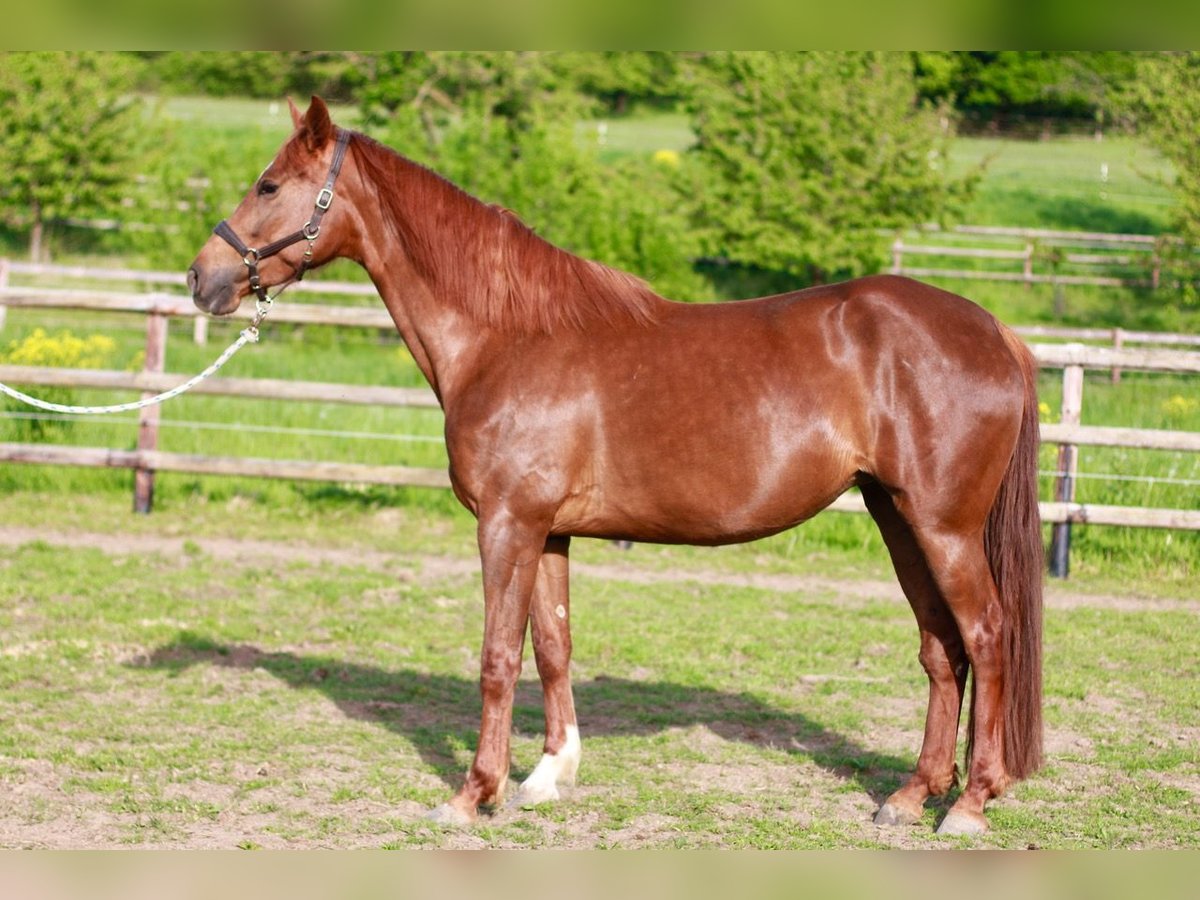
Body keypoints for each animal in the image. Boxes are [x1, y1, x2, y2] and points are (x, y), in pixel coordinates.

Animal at [187, 98, 1041, 840]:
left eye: (269, 185)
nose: (201, 278)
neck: (507, 337)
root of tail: (997, 332)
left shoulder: (507, 524)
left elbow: (498, 657)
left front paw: (473, 794)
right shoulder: (549, 532)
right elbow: (552, 646)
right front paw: (546, 776)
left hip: (943, 527)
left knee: (986, 636)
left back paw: (970, 803)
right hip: (896, 517)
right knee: (942, 649)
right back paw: (911, 796)